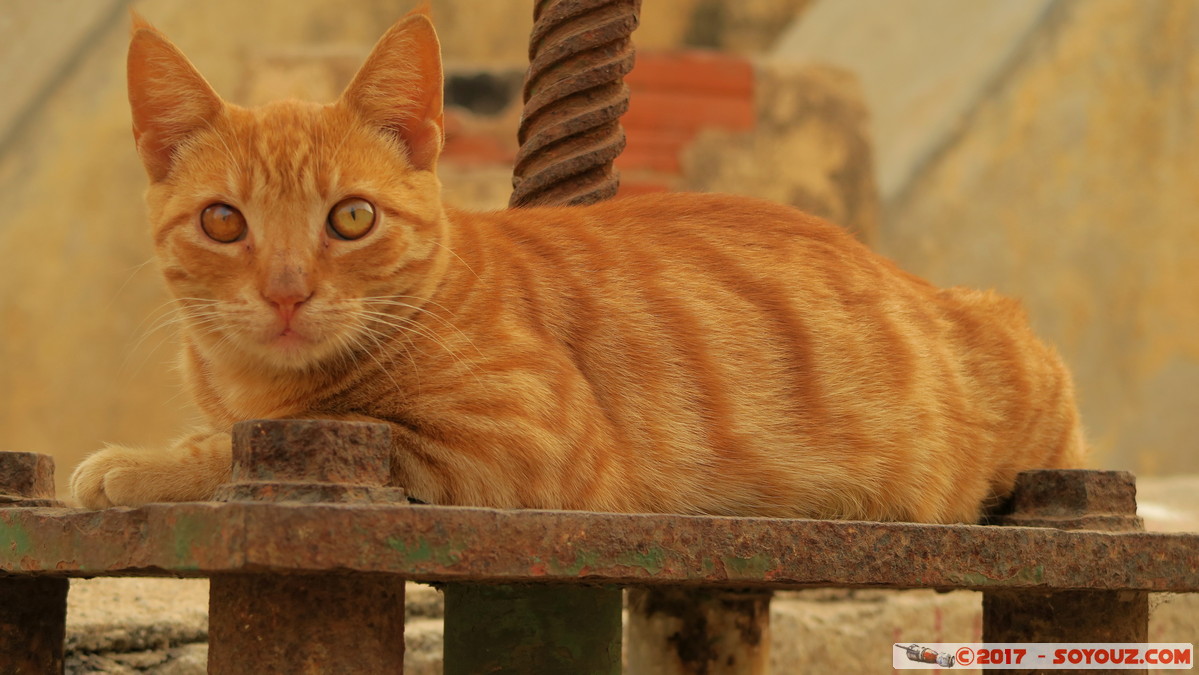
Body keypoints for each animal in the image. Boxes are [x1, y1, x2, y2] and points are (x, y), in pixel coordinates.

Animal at [72, 9, 1088, 522]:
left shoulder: (519, 448)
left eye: (350, 218)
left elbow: (286, 433)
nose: (286, 292)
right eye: (224, 221)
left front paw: (134, 462)